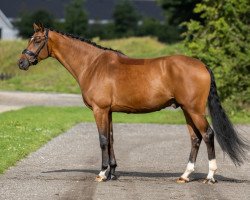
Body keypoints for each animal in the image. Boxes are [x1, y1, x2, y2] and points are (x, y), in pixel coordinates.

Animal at [18, 23, 248, 184]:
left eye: (37, 40)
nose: (22, 62)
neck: (92, 64)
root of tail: (202, 65)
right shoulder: (108, 111)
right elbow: (111, 139)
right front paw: (112, 172)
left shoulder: (99, 110)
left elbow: (103, 140)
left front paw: (102, 173)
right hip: (186, 110)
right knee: (195, 138)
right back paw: (185, 176)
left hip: (195, 110)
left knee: (208, 135)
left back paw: (210, 176)